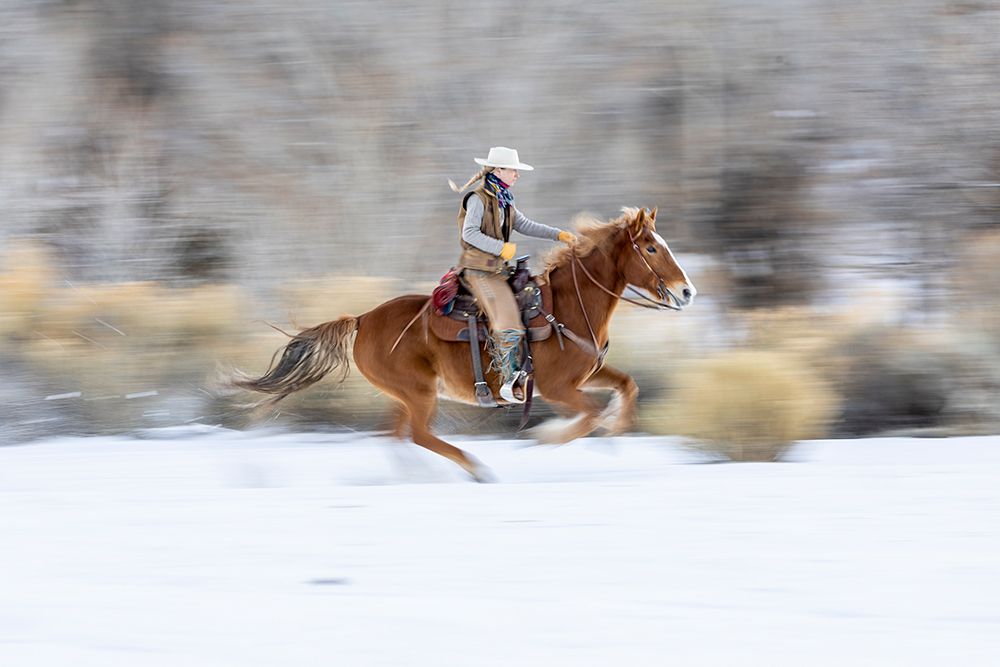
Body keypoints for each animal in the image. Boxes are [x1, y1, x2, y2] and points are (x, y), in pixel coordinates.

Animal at [231, 206, 696, 481]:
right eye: (651, 247)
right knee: (418, 434)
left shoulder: (587, 374)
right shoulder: (557, 388)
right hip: (418, 393)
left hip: (406, 394)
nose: (687, 291)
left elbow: (627, 386)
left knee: (395, 435)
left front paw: (615, 433)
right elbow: (588, 415)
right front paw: (546, 437)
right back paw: (475, 468)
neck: (567, 306)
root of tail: (361, 320)